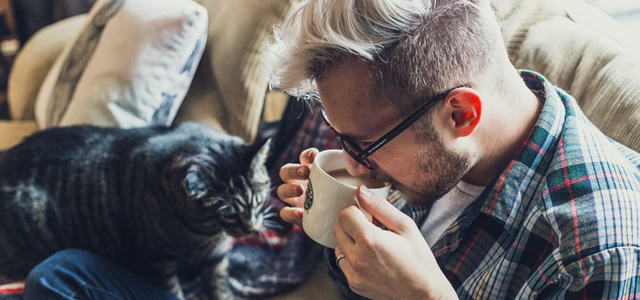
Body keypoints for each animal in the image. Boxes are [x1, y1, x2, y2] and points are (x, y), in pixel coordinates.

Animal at [0, 120, 272, 298]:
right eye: (228, 213)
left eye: (258, 200)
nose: (251, 227)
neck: (207, 235)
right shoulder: (158, 261)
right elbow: (173, 292)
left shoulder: (217, 258)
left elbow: (220, 289)